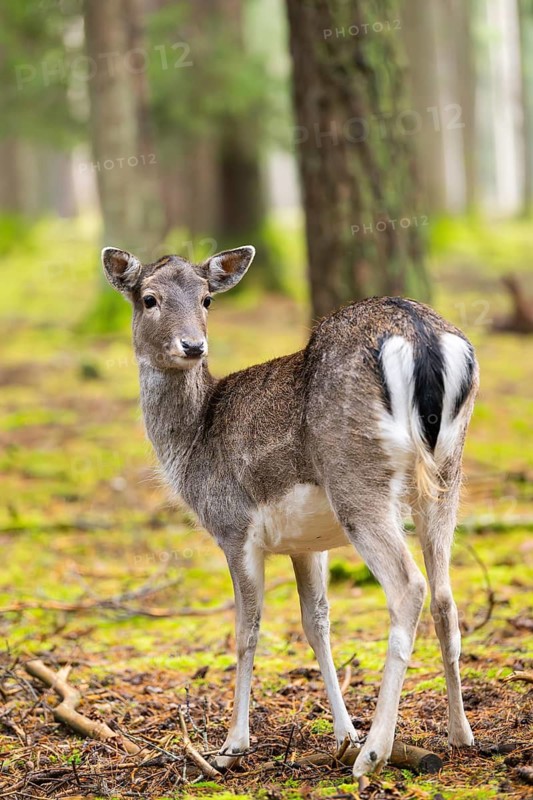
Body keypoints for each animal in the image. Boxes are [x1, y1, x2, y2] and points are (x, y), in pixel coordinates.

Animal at [102, 244, 478, 778]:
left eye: (207, 298)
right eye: (149, 298)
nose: (193, 346)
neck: (192, 445)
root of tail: (421, 337)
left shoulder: (233, 526)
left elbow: (246, 630)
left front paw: (232, 745)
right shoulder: (307, 543)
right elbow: (316, 624)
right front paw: (343, 733)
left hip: (357, 478)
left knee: (410, 587)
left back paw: (374, 754)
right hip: (448, 472)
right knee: (446, 596)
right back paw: (459, 734)